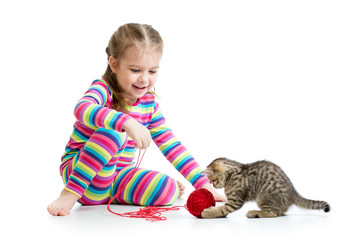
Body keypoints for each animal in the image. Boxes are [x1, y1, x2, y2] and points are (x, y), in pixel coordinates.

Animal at [201, 158, 330, 219]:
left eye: (213, 181)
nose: (213, 186)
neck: (232, 173)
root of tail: (293, 193)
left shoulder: (235, 201)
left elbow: (222, 209)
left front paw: (208, 213)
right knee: (280, 212)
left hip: (263, 196)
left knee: (273, 212)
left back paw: (254, 213)